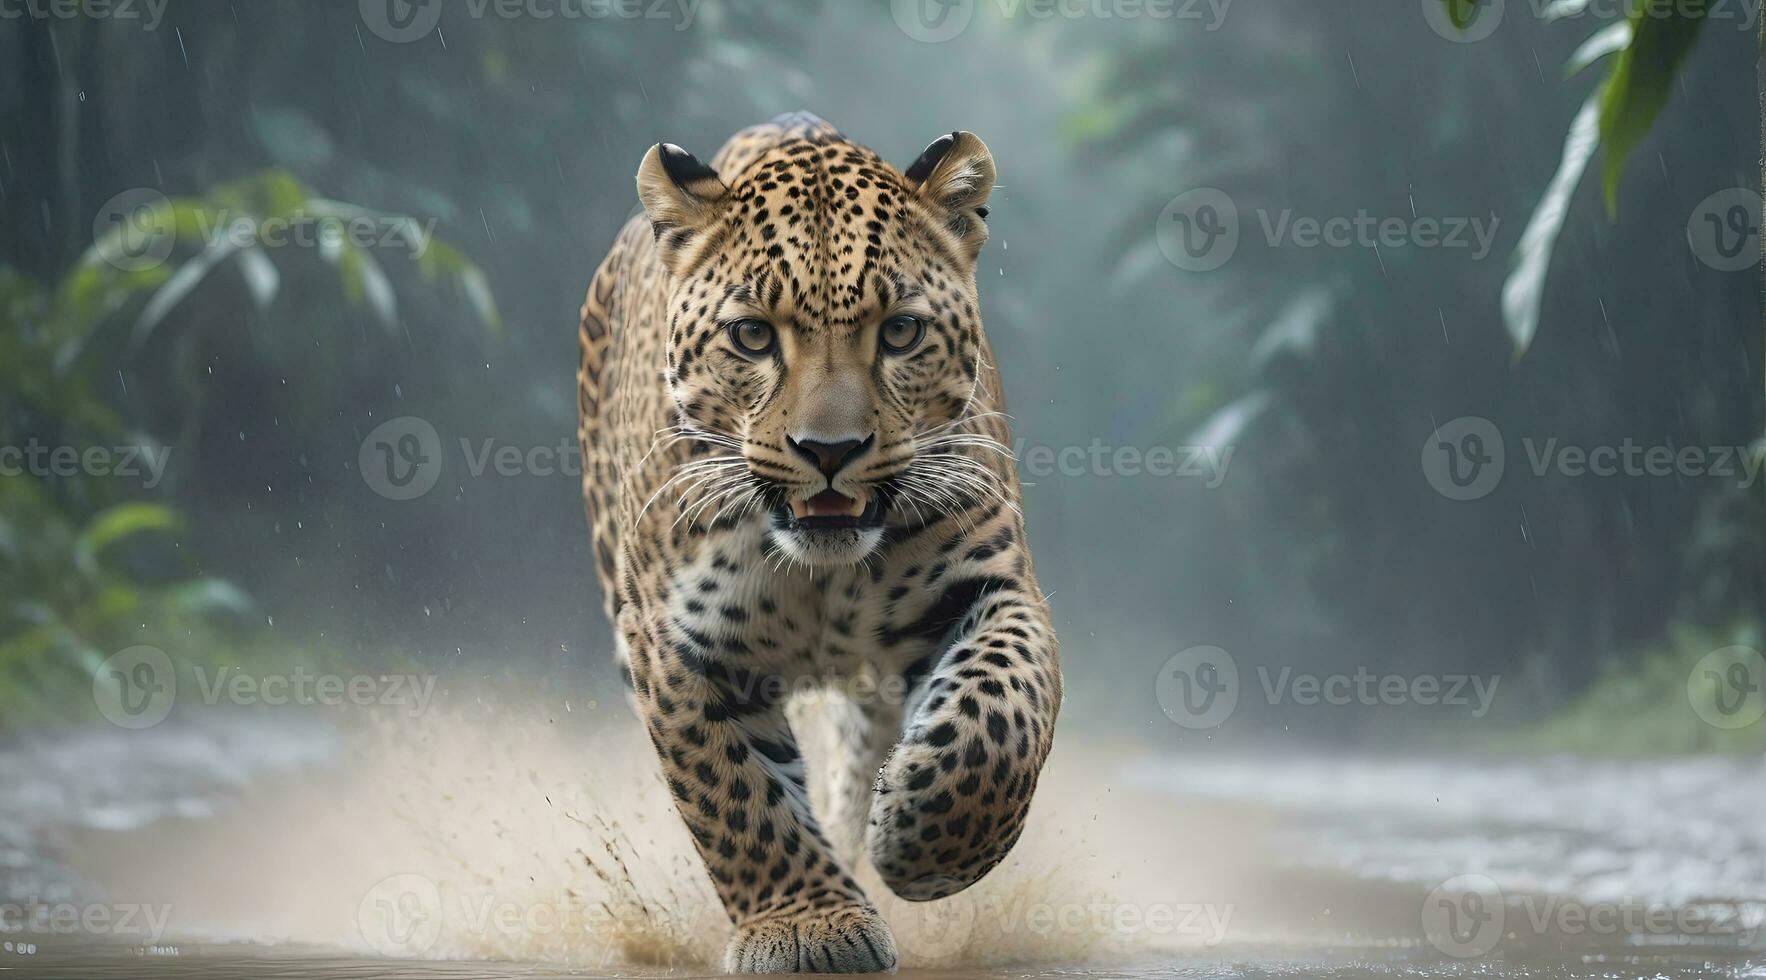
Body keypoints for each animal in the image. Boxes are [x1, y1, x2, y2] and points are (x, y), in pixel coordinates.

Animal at [575, 113, 1059, 974]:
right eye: (751, 336)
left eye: (900, 331)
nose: (829, 450)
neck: (818, 576)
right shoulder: (672, 642)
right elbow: (737, 797)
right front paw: (809, 926)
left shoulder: (992, 585)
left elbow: (999, 721)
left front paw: (922, 845)